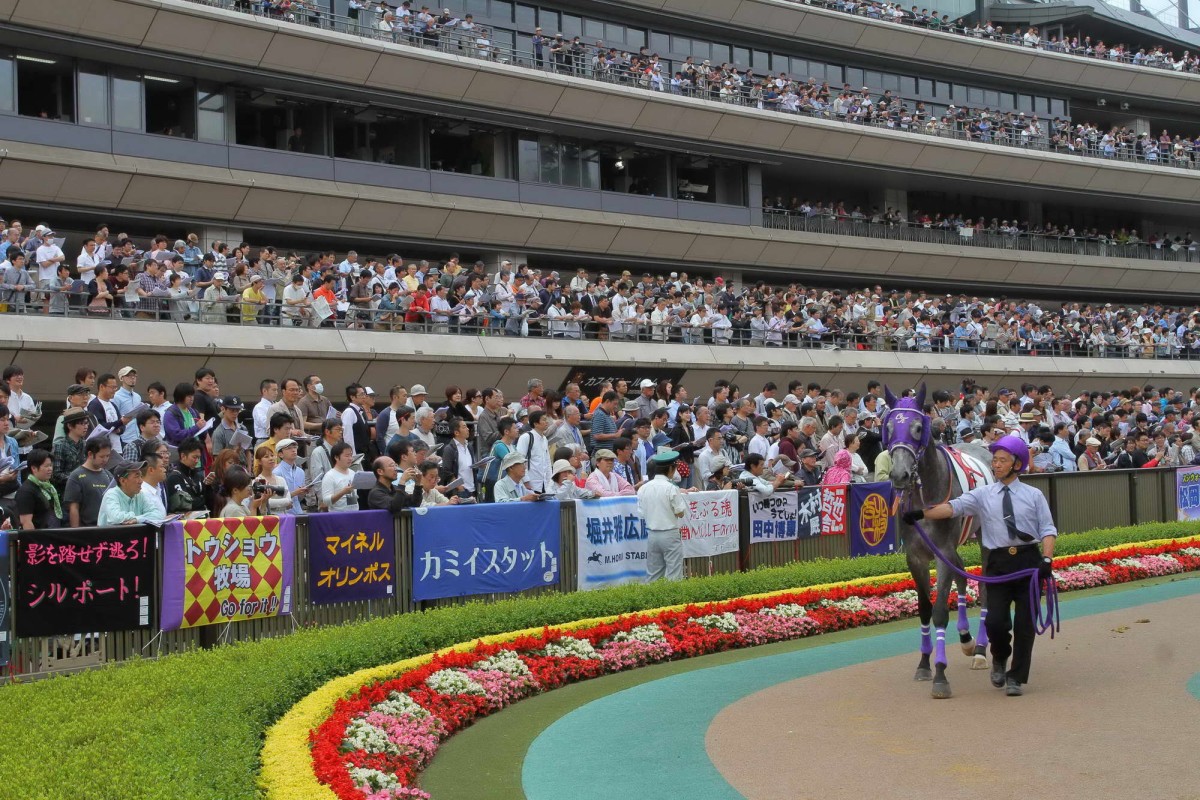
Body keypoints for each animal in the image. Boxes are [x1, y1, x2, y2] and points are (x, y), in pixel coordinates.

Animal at [888, 388, 988, 700]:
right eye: (888, 427)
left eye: (918, 428)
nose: (899, 475)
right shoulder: (916, 557)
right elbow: (924, 608)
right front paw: (924, 665)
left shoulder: (942, 550)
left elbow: (940, 612)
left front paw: (941, 675)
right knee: (962, 575)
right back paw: (967, 638)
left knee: (985, 584)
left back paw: (980, 650)